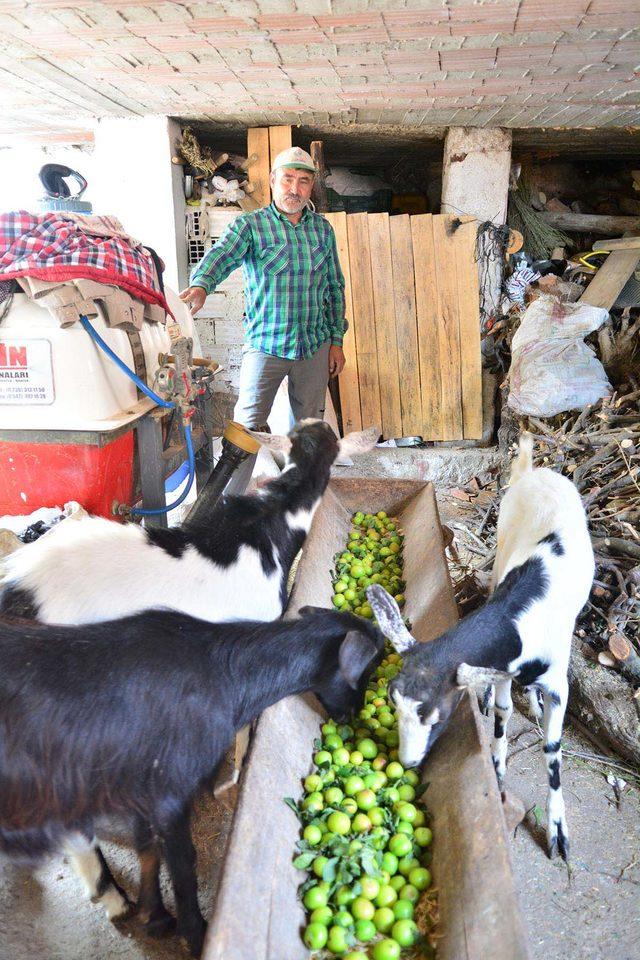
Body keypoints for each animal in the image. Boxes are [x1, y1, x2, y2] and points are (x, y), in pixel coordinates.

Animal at [0, 608, 380, 952]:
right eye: (369, 670)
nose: (352, 717)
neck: (230, 676)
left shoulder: (144, 782)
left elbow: (147, 846)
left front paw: (154, 916)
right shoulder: (172, 788)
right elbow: (183, 864)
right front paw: (194, 933)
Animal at [368, 436, 596, 864]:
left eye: (437, 716)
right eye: (392, 701)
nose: (408, 761)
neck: (518, 618)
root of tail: (532, 471)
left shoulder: (558, 682)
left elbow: (553, 748)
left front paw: (558, 829)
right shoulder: (504, 663)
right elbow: (504, 710)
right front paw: (495, 763)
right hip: (502, 548)